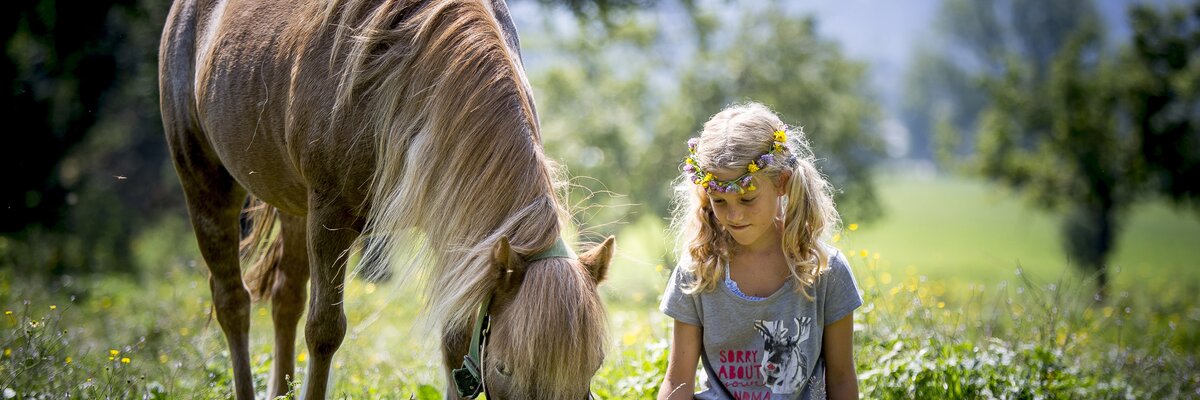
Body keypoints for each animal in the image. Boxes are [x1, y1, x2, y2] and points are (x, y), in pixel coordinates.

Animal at [157, 0, 613, 398]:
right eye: (504, 368)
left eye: (593, 366)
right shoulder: (330, 217)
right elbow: (324, 331)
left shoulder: (457, 227)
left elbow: (455, 339)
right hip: (205, 182)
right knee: (232, 302)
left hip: (292, 205)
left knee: (285, 298)